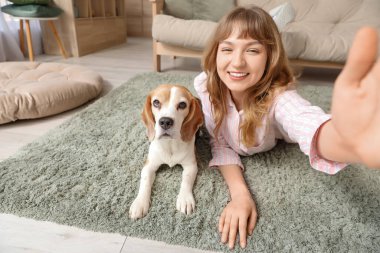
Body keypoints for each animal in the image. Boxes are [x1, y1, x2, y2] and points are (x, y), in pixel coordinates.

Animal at [129, 84, 203, 218]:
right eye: (156, 102)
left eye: (182, 104)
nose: (165, 122)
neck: (170, 144)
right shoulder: (149, 166)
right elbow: (145, 181)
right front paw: (140, 203)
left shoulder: (191, 165)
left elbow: (186, 180)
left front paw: (185, 199)